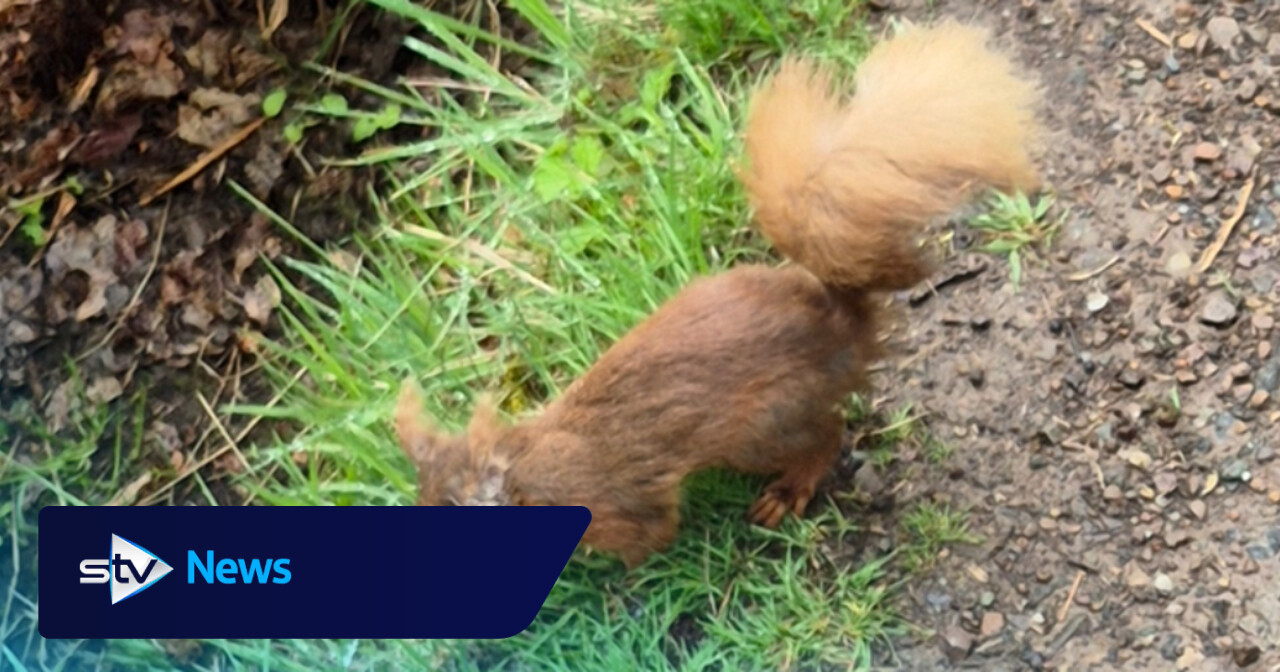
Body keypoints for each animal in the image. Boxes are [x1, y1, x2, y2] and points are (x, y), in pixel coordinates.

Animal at [393, 22, 1041, 569]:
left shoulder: (619, 507)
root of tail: (840, 323)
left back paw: (788, 491)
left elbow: (649, 538)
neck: (530, 468)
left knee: (825, 437)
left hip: (766, 424)